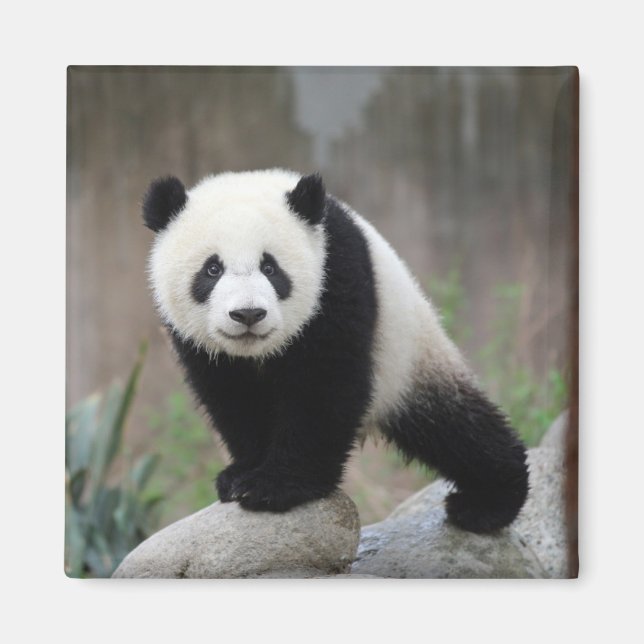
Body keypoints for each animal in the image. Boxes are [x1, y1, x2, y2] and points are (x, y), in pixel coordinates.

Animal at [143, 168, 529, 534]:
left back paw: (487, 502)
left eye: (270, 267)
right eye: (212, 269)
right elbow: (232, 398)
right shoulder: (201, 346)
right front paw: (240, 474)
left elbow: (324, 386)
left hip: (409, 356)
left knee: (455, 426)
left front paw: (275, 486)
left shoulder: (337, 276)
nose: (248, 314)